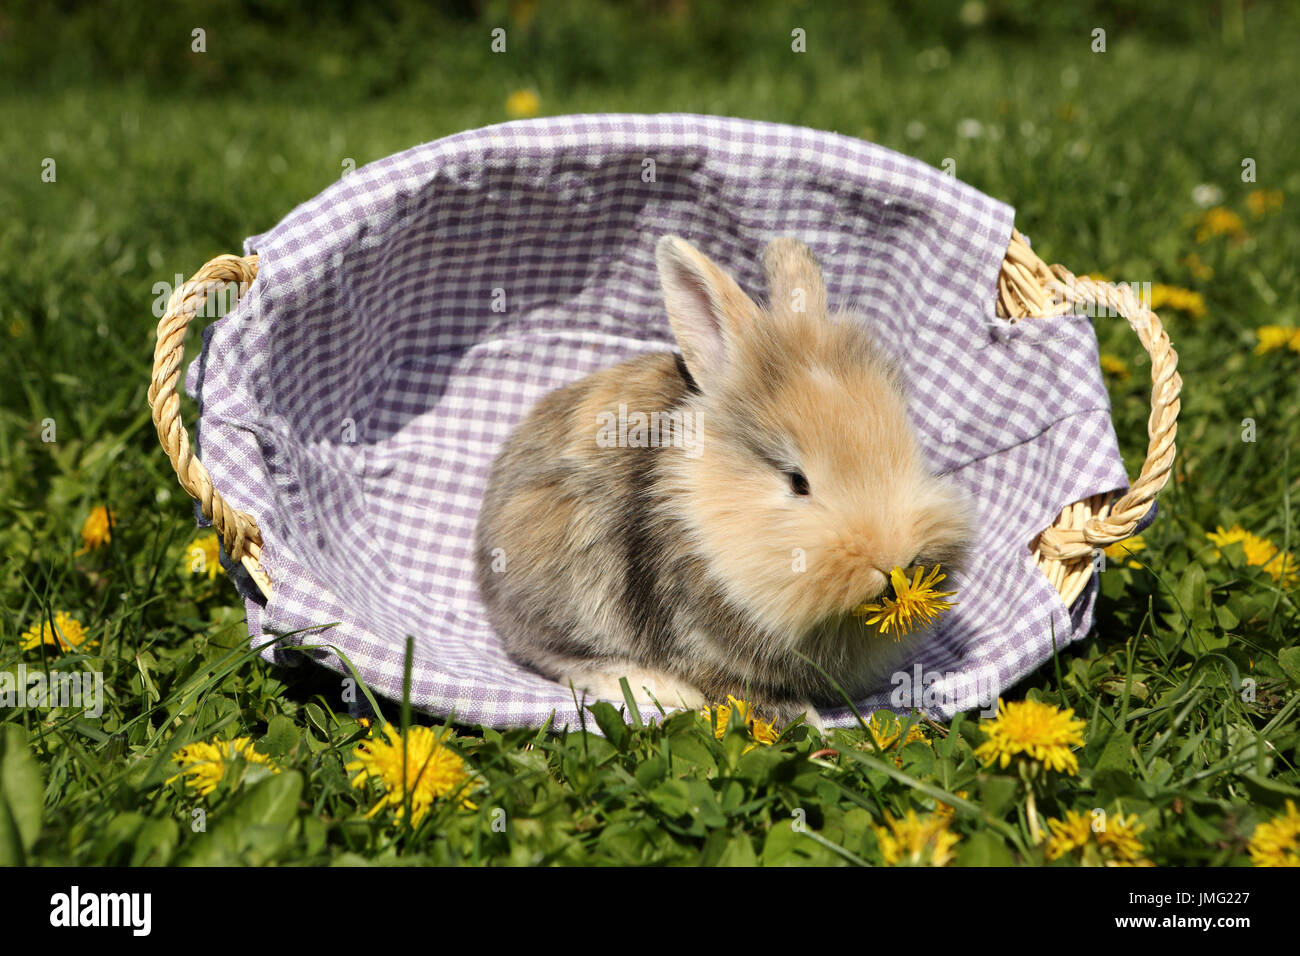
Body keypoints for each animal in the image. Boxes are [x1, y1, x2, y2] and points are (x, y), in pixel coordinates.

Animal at [473, 235, 972, 728]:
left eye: (909, 452)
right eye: (797, 482)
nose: (895, 561)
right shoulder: (698, 643)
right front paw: (803, 718)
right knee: (558, 658)